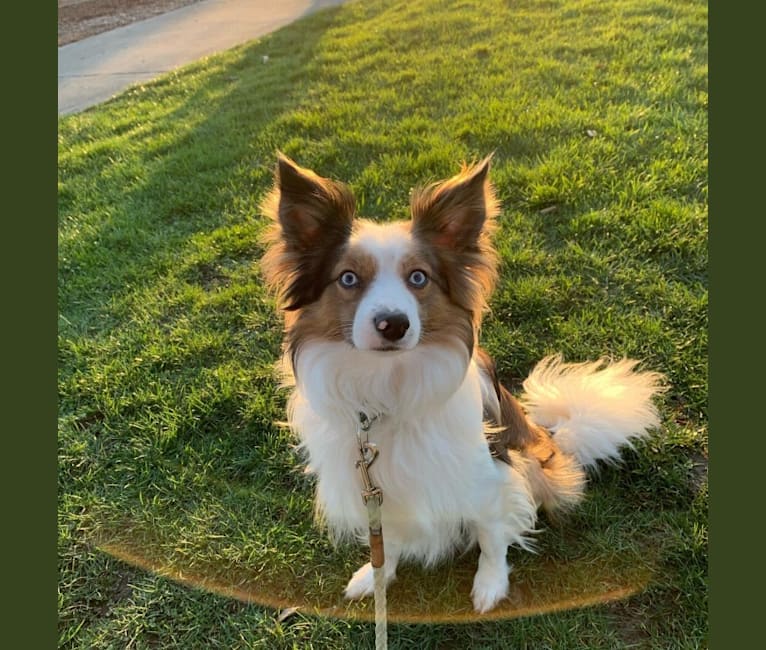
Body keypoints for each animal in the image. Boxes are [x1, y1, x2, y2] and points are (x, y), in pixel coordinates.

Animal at [260, 153, 664, 612]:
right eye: (348, 279)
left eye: (418, 278)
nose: (393, 324)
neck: (389, 388)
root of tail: (552, 439)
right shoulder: (378, 486)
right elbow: (388, 541)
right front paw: (376, 575)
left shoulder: (488, 472)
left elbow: (492, 535)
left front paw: (491, 586)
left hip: (529, 460)